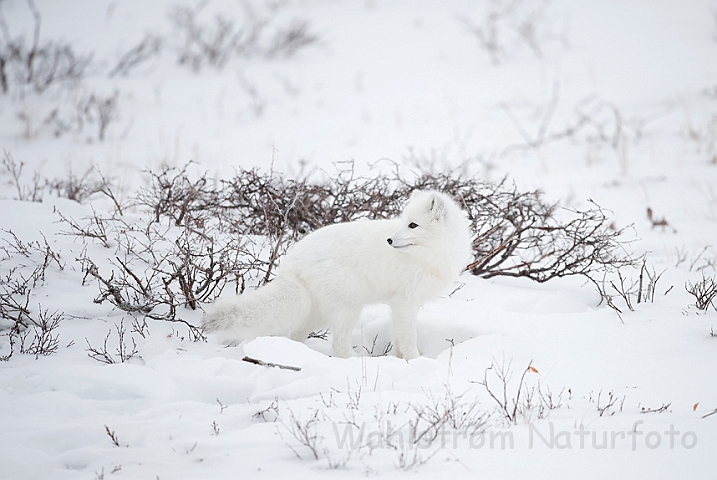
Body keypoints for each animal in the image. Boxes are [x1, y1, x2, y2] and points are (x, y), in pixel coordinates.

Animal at [203, 189, 470, 358]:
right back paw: (354, 362)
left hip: (318, 313)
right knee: (338, 343)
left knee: (294, 334)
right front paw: (416, 362)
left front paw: (399, 360)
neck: (431, 253)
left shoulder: (399, 304)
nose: (389, 240)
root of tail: (291, 262)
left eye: (412, 225)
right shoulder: (405, 301)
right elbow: (408, 337)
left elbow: (397, 338)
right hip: (348, 308)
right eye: (404, 222)